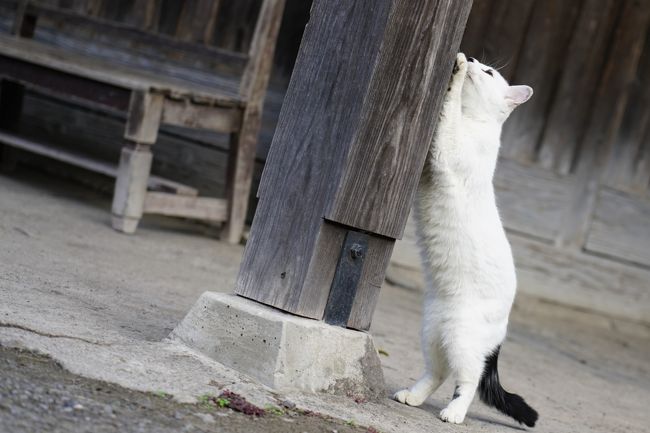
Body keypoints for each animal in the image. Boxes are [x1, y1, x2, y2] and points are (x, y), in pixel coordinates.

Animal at [390, 53, 536, 426]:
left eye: (487, 71)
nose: (471, 58)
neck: (475, 120)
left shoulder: (448, 149)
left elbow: (449, 111)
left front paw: (453, 77)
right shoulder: (432, 165)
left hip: (462, 339)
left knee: (468, 381)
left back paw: (454, 413)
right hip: (433, 330)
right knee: (438, 371)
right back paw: (412, 397)